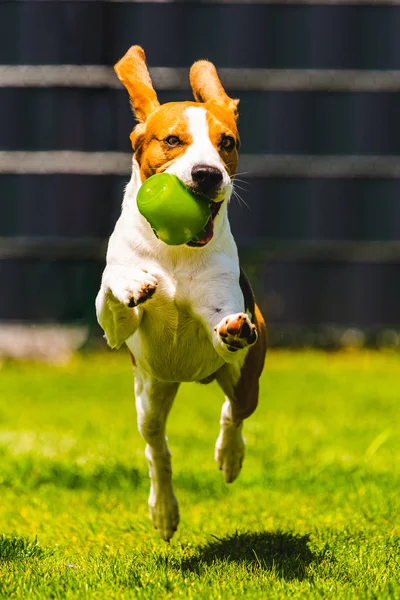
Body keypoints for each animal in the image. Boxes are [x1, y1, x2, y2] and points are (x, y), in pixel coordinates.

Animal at [95, 47, 268, 540]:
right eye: (172, 140)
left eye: (226, 142)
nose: (207, 174)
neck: (174, 250)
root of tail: (192, 379)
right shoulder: (114, 329)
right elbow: (113, 291)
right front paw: (133, 283)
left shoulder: (223, 316)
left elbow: (222, 327)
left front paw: (232, 327)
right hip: (150, 393)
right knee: (158, 449)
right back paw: (164, 510)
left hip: (244, 375)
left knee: (235, 411)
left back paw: (230, 457)